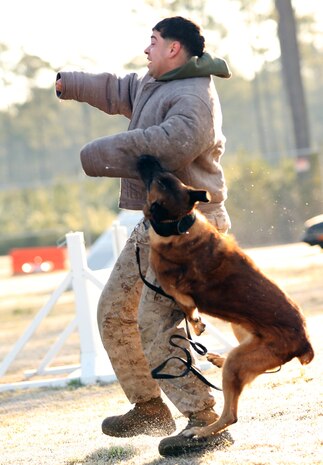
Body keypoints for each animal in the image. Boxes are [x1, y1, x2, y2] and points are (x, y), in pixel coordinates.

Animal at [137, 155, 314, 438]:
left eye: (154, 178)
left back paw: (201, 431)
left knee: (231, 415)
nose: (145, 157)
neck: (181, 225)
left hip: (239, 362)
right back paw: (218, 359)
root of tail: (304, 341)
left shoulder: (174, 288)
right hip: (241, 333)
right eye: (161, 175)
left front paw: (196, 324)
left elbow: (188, 308)